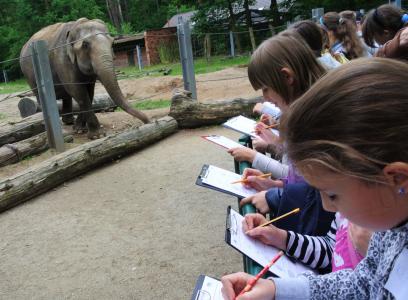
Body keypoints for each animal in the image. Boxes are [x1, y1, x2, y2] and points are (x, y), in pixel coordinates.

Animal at [19, 16, 150, 138]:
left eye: (112, 43)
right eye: (85, 45)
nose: (147, 122)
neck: (75, 26)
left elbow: (89, 91)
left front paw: (79, 129)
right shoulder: (62, 60)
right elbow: (78, 91)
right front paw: (97, 135)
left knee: (67, 97)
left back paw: (69, 121)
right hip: (29, 75)